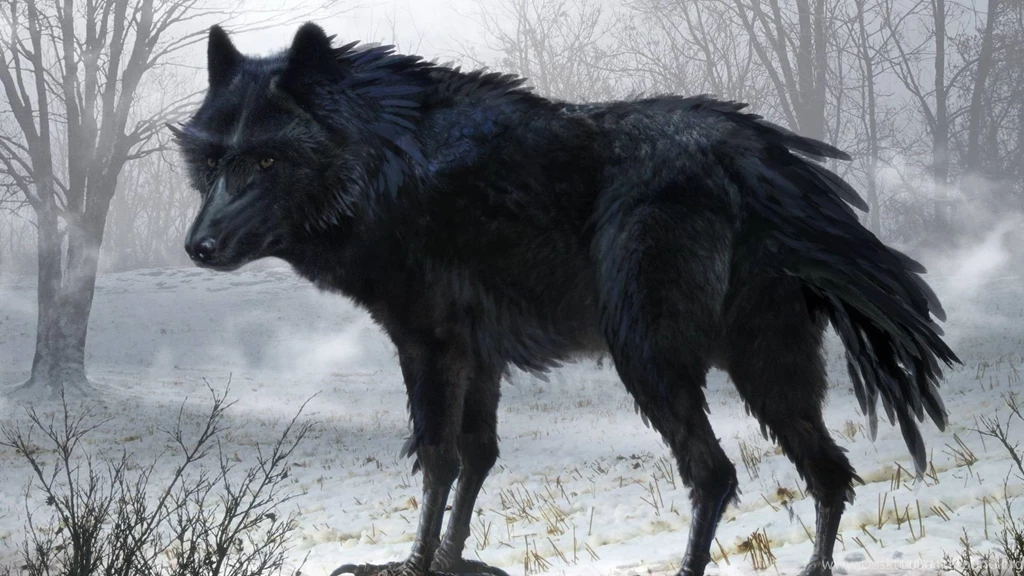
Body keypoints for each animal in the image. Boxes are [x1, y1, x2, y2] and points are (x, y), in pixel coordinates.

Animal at [172, 23, 959, 576]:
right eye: (213, 161)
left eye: (267, 159)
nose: (197, 247)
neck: (388, 163)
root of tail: (759, 159)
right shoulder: (478, 355)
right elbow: (478, 455)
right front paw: (451, 561)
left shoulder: (429, 344)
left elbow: (438, 458)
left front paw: (414, 563)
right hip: (770, 368)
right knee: (828, 473)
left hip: (650, 358)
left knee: (716, 473)